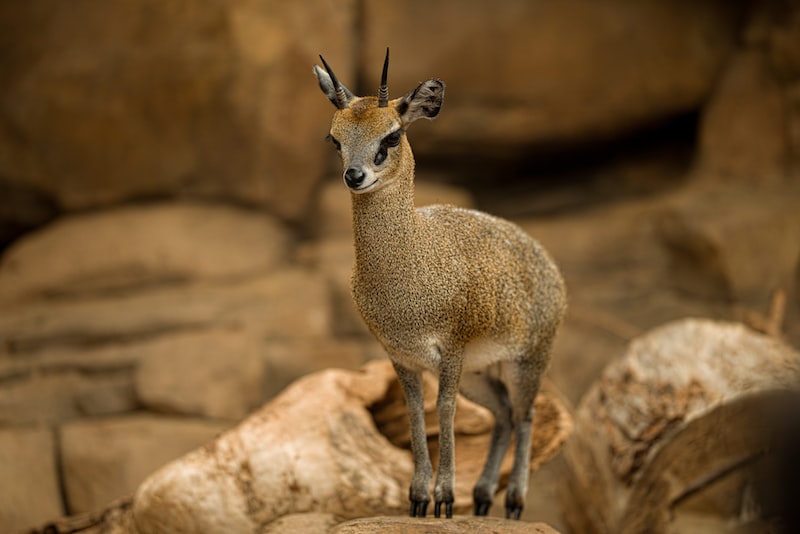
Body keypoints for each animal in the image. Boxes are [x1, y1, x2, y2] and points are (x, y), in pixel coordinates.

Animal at [314, 49, 568, 520]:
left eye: (392, 136)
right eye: (334, 139)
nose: (354, 175)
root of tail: (545, 261)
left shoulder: (450, 350)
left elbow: (445, 412)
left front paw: (445, 498)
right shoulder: (402, 357)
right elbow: (418, 414)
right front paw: (418, 499)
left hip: (527, 361)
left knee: (526, 416)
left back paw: (514, 501)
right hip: (483, 373)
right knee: (504, 415)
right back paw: (483, 498)